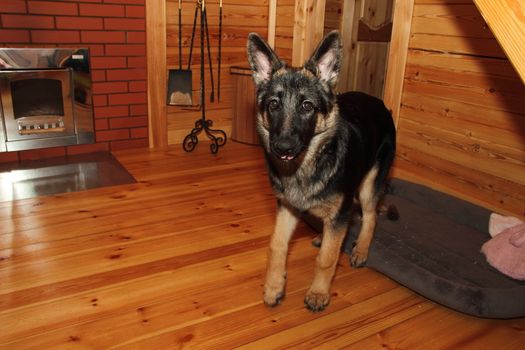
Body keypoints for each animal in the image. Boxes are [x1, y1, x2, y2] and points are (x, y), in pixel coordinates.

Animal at [246, 32, 392, 312]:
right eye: (274, 105)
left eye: (307, 106)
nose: (282, 147)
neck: (305, 166)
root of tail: (380, 104)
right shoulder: (287, 208)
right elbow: (276, 246)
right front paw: (274, 287)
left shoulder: (340, 211)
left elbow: (326, 258)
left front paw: (318, 292)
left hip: (369, 186)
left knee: (369, 216)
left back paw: (360, 250)